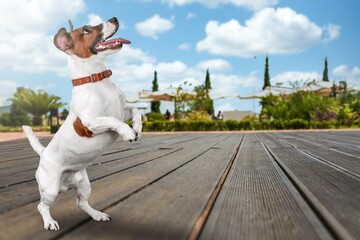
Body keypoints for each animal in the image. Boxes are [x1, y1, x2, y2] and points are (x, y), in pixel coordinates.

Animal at [22, 16, 142, 231]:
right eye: (86, 30)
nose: (114, 18)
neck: (96, 80)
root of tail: (44, 153)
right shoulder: (90, 123)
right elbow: (111, 120)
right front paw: (127, 132)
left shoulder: (123, 110)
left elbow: (136, 110)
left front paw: (137, 128)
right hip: (50, 188)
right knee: (42, 206)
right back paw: (49, 221)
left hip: (85, 184)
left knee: (81, 202)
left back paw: (97, 215)